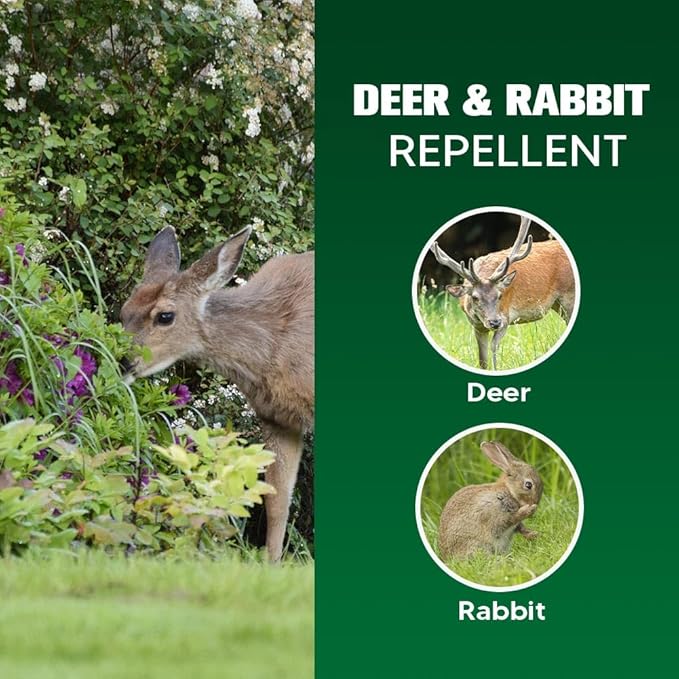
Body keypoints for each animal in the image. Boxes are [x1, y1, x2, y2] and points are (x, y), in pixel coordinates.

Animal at [120, 225, 314, 561]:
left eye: (165, 316)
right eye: (124, 311)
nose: (123, 361)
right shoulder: (278, 417)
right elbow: (276, 503)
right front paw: (271, 564)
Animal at [430, 216, 575, 370]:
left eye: (500, 295)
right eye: (475, 297)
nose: (494, 322)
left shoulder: (506, 317)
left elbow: (494, 347)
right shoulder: (477, 326)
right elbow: (482, 360)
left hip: (569, 295)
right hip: (557, 305)